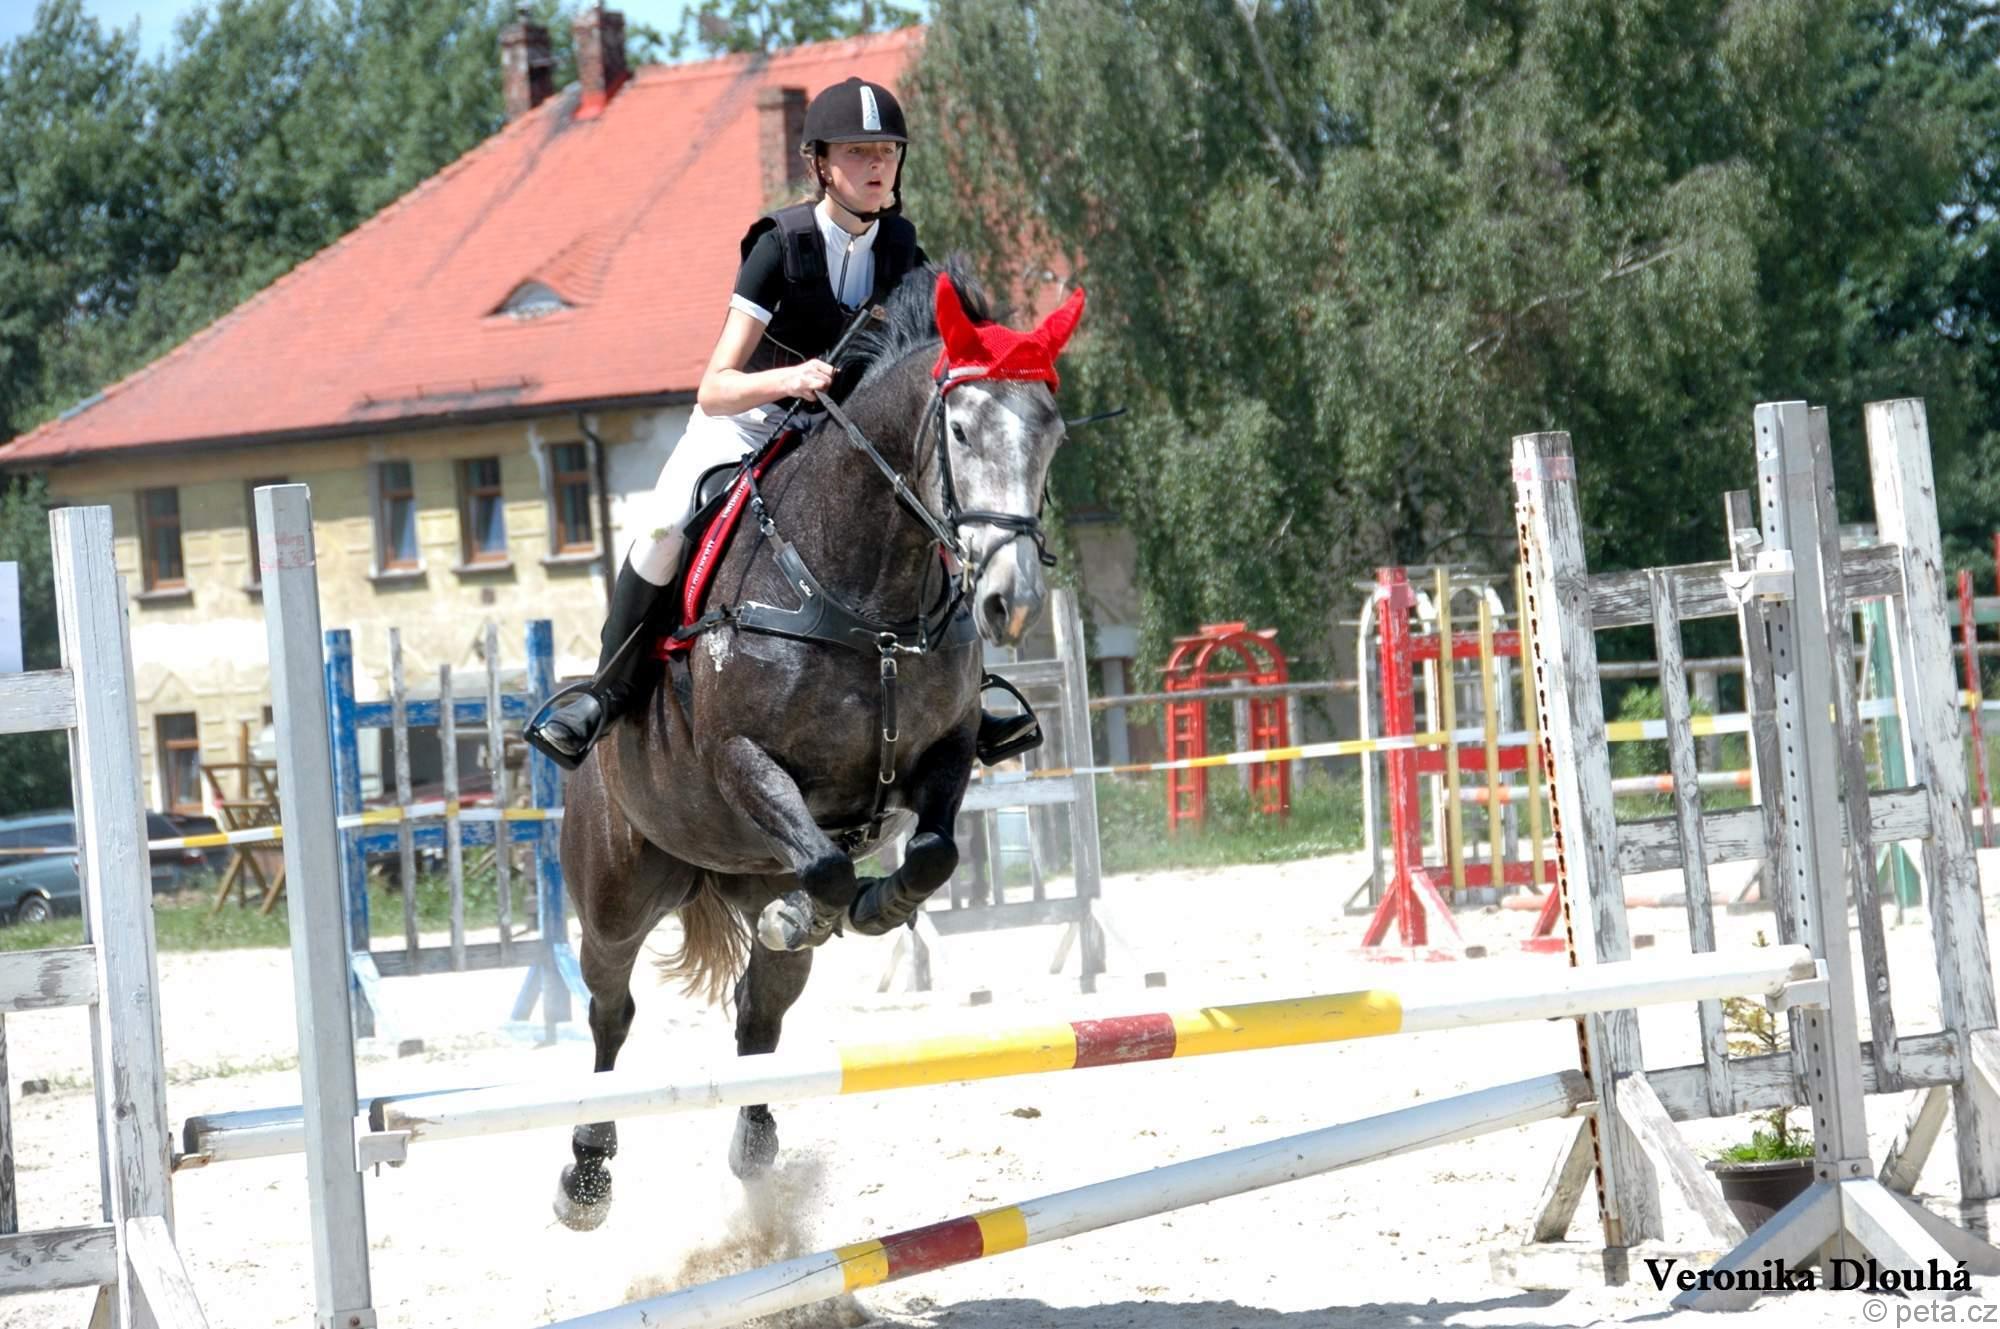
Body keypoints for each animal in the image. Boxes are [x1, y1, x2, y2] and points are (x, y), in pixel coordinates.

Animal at [552, 260, 1086, 1229]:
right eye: (959, 426)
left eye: (1053, 434)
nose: (1011, 601)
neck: (870, 592)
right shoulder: (741, 760)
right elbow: (833, 866)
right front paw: (834, 905)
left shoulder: (945, 752)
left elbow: (933, 853)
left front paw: (872, 907)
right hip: (616, 890)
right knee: (611, 1009)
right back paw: (586, 1172)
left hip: (746, 877)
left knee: (759, 1011)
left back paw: (758, 1140)